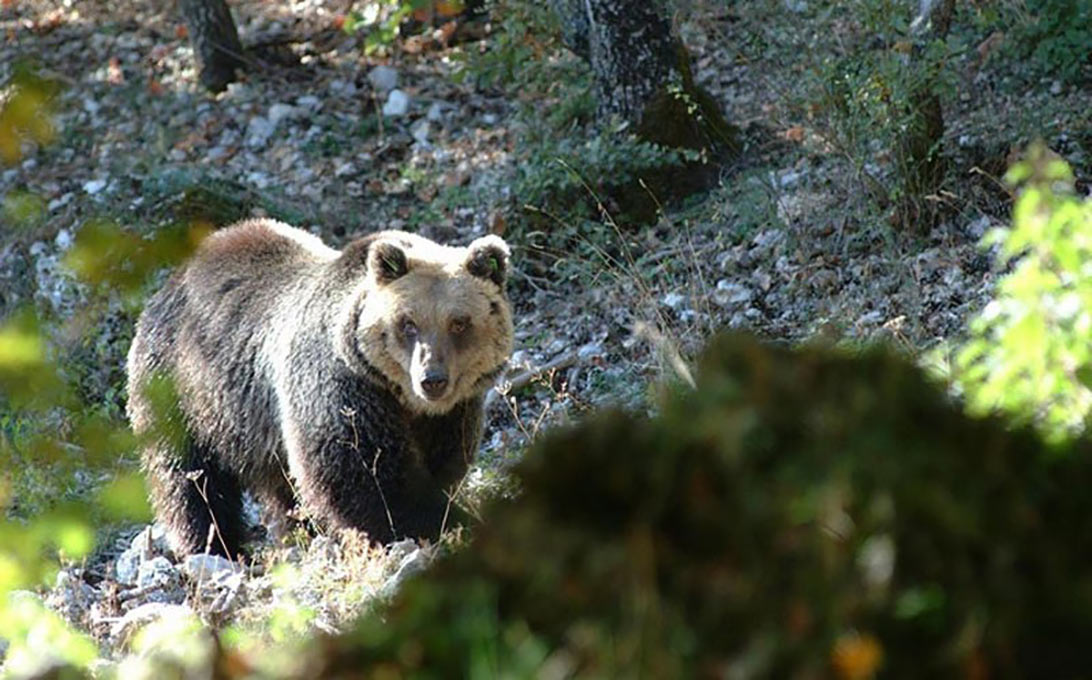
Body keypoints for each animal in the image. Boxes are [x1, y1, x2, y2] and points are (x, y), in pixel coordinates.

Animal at [125, 219, 513, 558]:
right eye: (408, 323)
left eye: (459, 323)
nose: (432, 378)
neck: (402, 398)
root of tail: (170, 281)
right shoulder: (339, 386)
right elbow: (366, 476)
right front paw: (445, 522)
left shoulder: (452, 413)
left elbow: (443, 462)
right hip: (181, 390)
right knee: (189, 478)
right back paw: (217, 547)